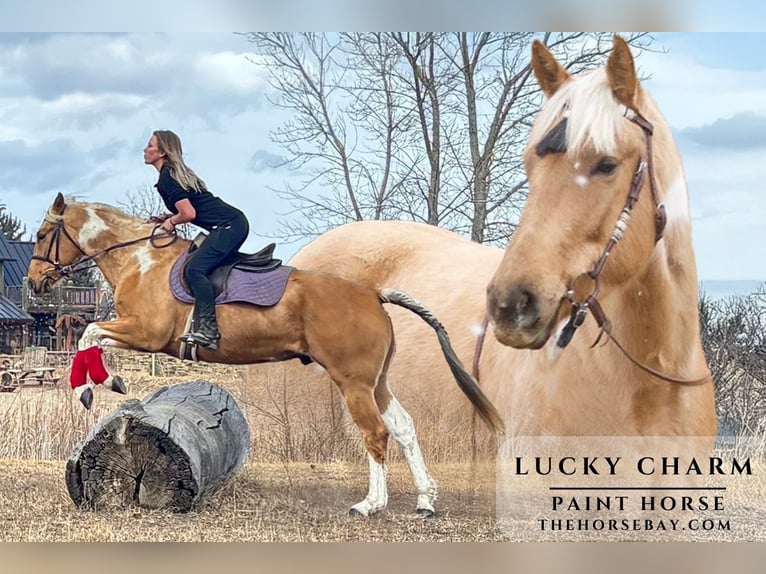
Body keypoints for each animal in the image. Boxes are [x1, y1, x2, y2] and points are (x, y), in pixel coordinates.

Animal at [26, 193, 504, 517]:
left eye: (44, 235)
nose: (34, 283)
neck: (141, 260)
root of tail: (373, 293)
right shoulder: (139, 333)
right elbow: (90, 338)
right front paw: (103, 382)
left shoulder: (146, 333)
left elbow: (88, 335)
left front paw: (93, 387)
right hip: (376, 381)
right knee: (403, 427)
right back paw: (425, 501)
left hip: (353, 383)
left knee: (376, 434)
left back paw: (370, 504)